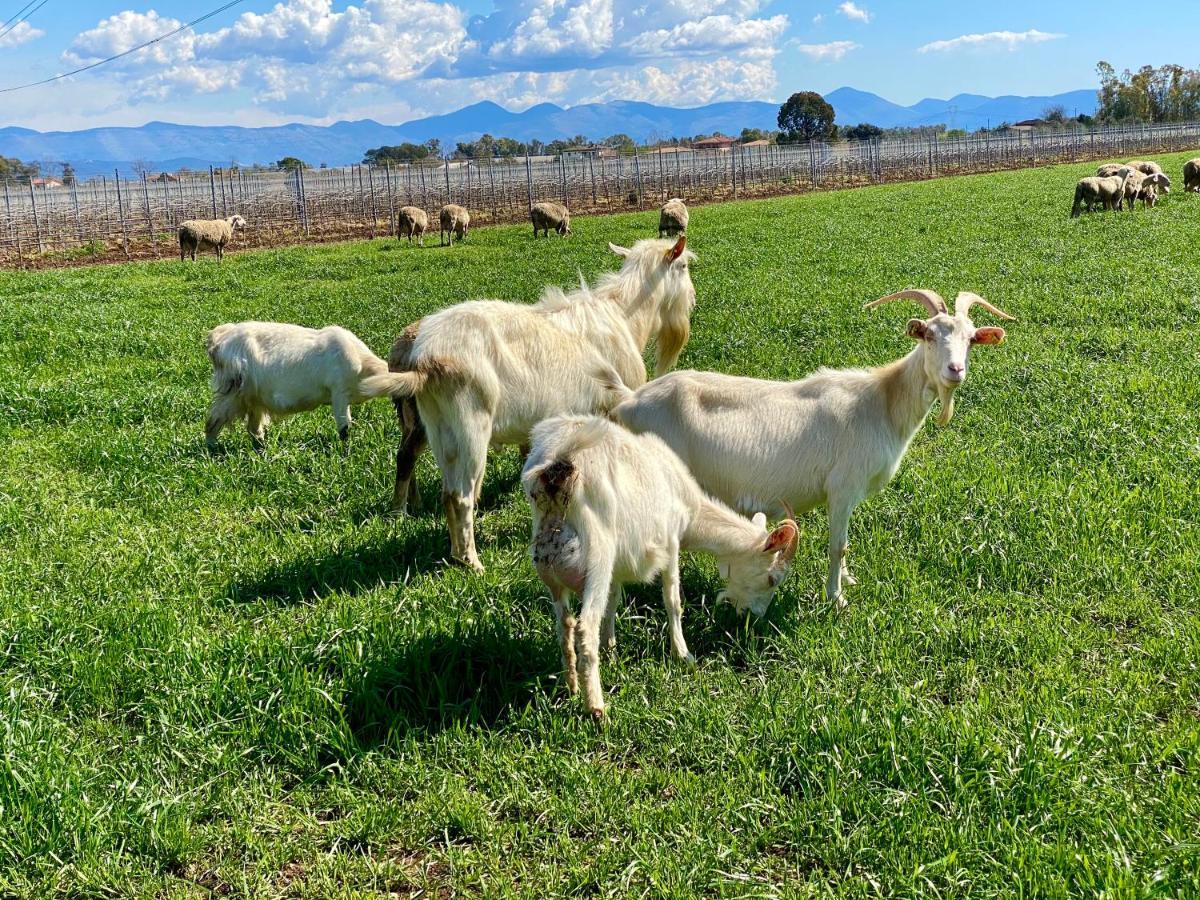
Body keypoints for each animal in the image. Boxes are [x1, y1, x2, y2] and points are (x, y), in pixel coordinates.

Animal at [206, 321, 412, 451]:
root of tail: (217, 340)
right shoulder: (339, 392)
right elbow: (344, 429)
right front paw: (346, 455)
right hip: (233, 392)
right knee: (213, 421)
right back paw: (212, 450)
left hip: (254, 399)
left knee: (254, 429)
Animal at [369, 232, 700, 571]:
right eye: (684, 266)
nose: (693, 298)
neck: (623, 315)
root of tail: (423, 361)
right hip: (469, 421)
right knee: (459, 495)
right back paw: (472, 563)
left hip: (438, 426)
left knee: (436, 482)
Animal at [523, 415, 796, 720]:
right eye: (772, 579)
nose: (755, 616)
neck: (692, 507)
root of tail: (560, 466)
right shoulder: (671, 540)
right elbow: (673, 600)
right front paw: (683, 655)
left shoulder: (620, 562)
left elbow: (613, 603)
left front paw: (612, 653)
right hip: (598, 557)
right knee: (585, 626)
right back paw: (596, 708)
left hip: (550, 565)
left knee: (565, 623)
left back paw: (572, 686)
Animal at [609, 290, 1012, 614]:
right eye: (929, 334)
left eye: (971, 338)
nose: (955, 370)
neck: (881, 403)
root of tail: (629, 402)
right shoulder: (842, 486)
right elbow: (839, 546)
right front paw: (836, 599)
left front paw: (846, 581)